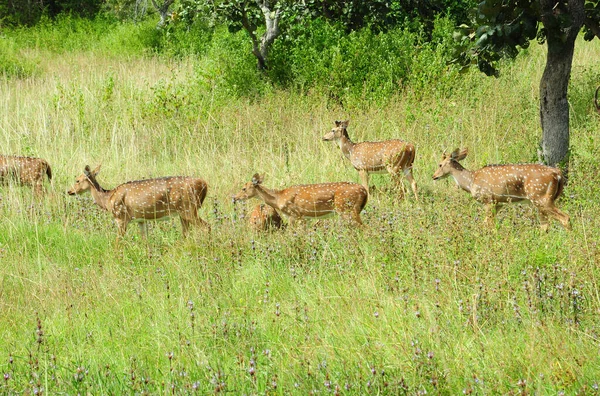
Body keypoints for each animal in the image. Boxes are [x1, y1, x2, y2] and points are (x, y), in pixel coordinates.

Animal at [67, 165, 209, 238]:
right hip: (183, 212)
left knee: (207, 226)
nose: (69, 191)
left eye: (77, 180)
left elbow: (119, 242)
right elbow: (145, 240)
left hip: (188, 208)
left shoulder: (121, 217)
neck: (108, 198)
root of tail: (204, 184)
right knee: (186, 233)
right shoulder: (141, 220)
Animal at [233, 174, 366, 226]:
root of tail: (364, 191)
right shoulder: (304, 218)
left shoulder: (294, 214)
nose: (234, 197)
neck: (279, 198)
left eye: (243, 188)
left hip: (347, 209)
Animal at [434, 148, 568, 232]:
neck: (471, 181)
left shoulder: (488, 200)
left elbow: (487, 224)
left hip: (541, 197)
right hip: (541, 201)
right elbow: (490, 224)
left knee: (565, 217)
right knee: (545, 225)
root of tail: (557, 173)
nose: (434, 176)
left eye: (440, 164)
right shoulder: (498, 203)